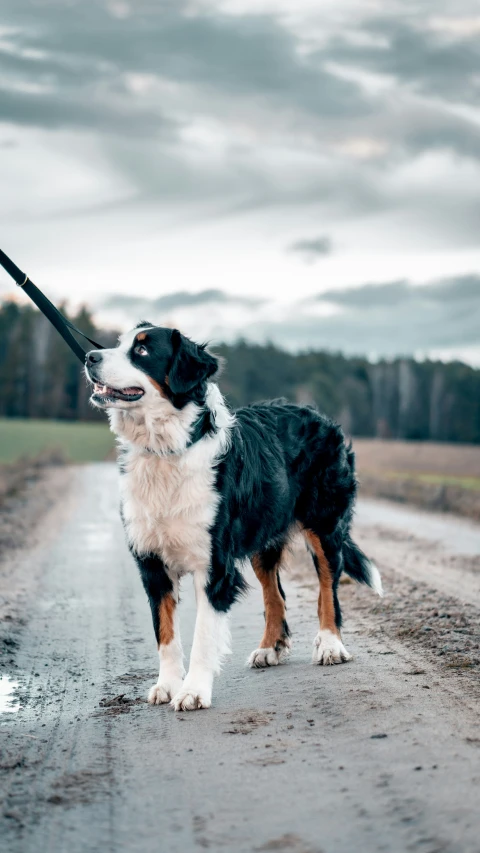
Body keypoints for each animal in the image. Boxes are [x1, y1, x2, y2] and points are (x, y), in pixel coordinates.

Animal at [84, 322, 380, 708]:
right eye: (118, 344)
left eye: (143, 351)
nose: (90, 356)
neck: (168, 450)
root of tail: (319, 415)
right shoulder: (152, 563)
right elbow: (165, 634)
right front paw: (167, 685)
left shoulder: (213, 565)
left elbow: (202, 635)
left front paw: (193, 691)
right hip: (262, 537)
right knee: (275, 596)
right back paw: (268, 649)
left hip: (324, 526)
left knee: (328, 588)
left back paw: (330, 645)